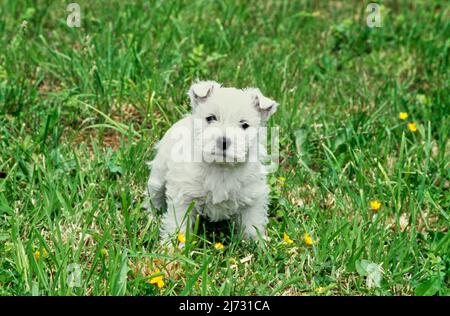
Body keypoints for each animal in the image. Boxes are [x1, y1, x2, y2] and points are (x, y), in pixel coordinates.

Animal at [146, 79, 278, 242]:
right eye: (210, 118)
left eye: (244, 125)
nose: (223, 141)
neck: (220, 167)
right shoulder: (183, 197)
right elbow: (178, 225)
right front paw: (172, 246)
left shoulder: (253, 198)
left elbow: (252, 224)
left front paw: (257, 244)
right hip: (158, 177)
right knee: (153, 197)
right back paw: (152, 217)